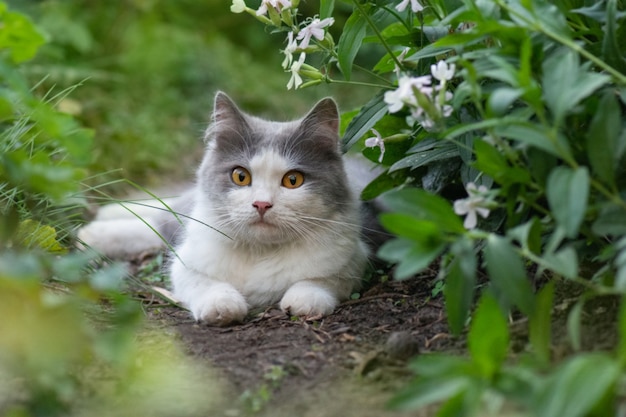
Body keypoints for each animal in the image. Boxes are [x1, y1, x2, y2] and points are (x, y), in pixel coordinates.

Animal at [78, 92, 380, 326]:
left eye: (293, 180)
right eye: (240, 176)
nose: (261, 204)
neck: (259, 254)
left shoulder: (354, 259)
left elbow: (321, 281)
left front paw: (305, 300)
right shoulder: (186, 262)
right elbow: (205, 283)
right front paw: (222, 306)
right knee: (158, 220)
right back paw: (94, 229)